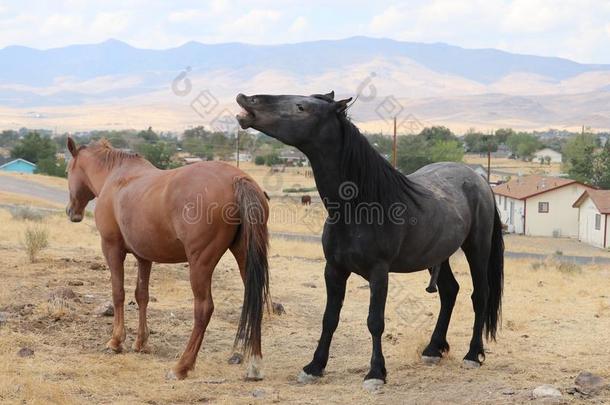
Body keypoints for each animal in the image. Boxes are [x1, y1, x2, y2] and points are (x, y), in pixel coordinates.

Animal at [63, 138, 268, 378]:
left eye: (68, 171)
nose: (71, 211)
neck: (116, 178)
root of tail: (237, 179)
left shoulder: (112, 249)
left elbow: (118, 293)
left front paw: (116, 341)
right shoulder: (144, 257)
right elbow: (141, 295)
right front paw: (141, 343)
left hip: (200, 264)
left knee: (204, 309)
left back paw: (182, 366)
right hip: (245, 257)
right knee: (256, 300)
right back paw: (254, 365)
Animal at [235, 90, 502, 388]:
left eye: (301, 107)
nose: (247, 99)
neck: (359, 206)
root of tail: (479, 180)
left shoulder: (379, 272)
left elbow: (375, 321)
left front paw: (376, 373)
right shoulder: (334, 270)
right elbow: (329, 319)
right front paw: (314, 366)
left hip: (477, 248)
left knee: (480, 295)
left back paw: (473, 354)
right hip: (438, 255)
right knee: (449, 291)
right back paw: (433, 349)